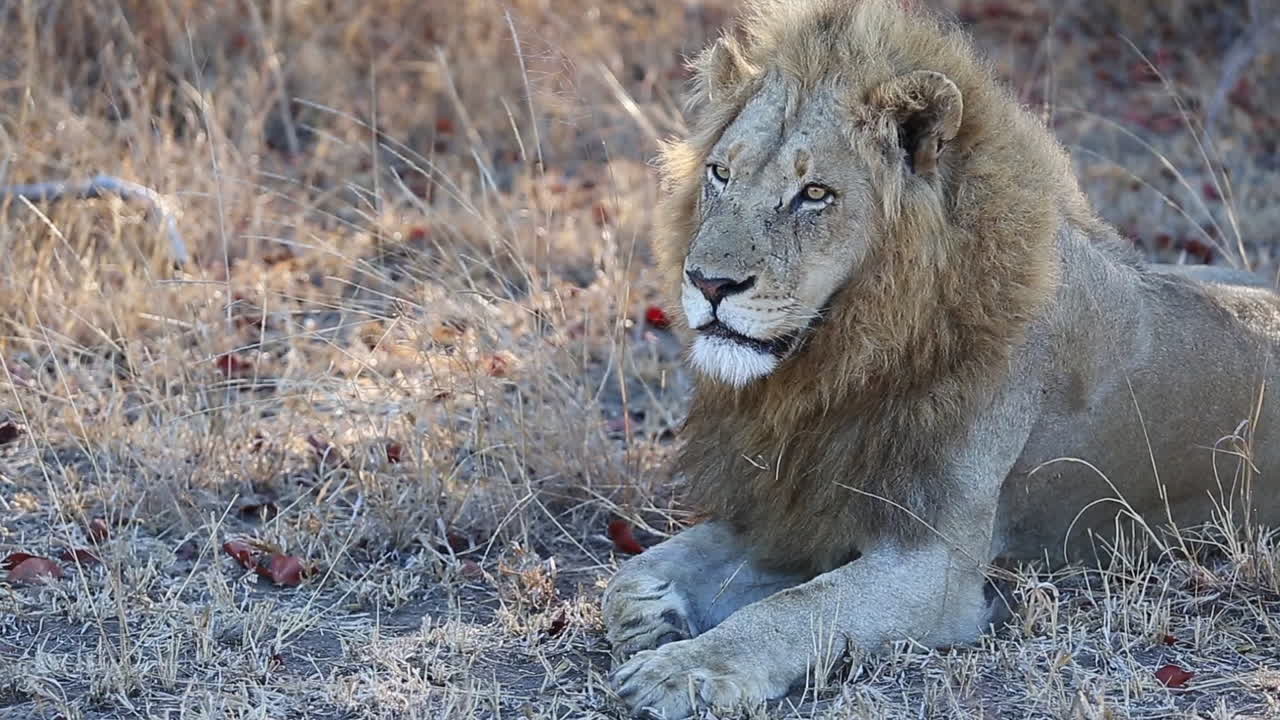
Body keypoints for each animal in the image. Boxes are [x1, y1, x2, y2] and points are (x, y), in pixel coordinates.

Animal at [600, 0, 1280, 716]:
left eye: (814, 194)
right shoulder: (800, 503)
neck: (841, 362)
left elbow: (797, 608)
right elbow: (631, 574)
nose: (707, 283)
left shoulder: (935, 565)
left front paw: (684, 669)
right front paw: (657, 616)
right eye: (720, 175)